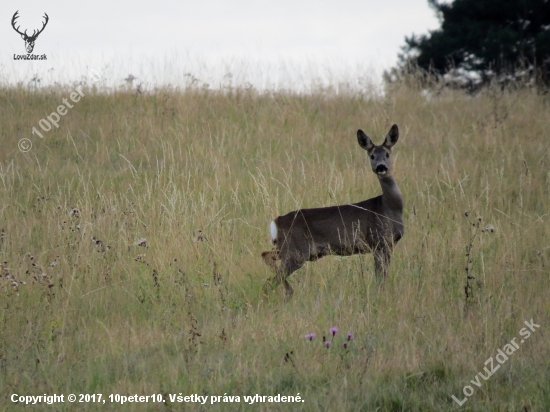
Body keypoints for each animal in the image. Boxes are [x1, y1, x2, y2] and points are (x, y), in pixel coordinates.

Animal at [260, 123, 408, 300]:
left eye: (387, 154)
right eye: (372, 156)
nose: (381, 167)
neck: (388, 207)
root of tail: (277, 221)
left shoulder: (388, 245)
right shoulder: (379, 241)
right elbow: (380, 277)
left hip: (285, 248)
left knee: (265, 256)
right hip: (295, 250)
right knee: (270, 279)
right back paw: (287, 293)